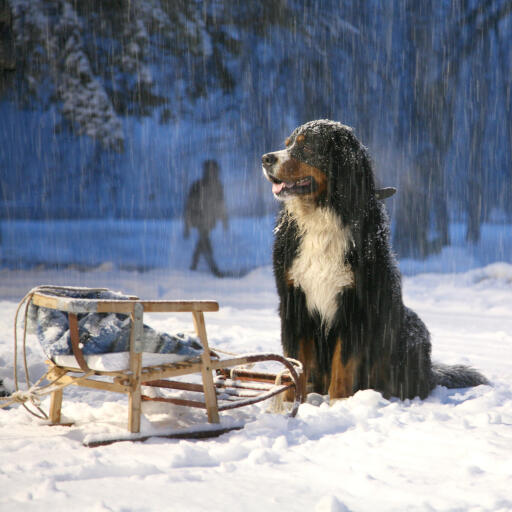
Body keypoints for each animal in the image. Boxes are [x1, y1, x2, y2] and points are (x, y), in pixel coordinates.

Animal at [262, 120, 486, 400]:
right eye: (288, 143)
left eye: (306, 146)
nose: (265, 158)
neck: (323, 217)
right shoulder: (293, 301)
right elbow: (295, 363)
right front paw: (292, 401)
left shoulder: (356, 306)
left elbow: (343, 366)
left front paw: (338, 403)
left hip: (410, 330)